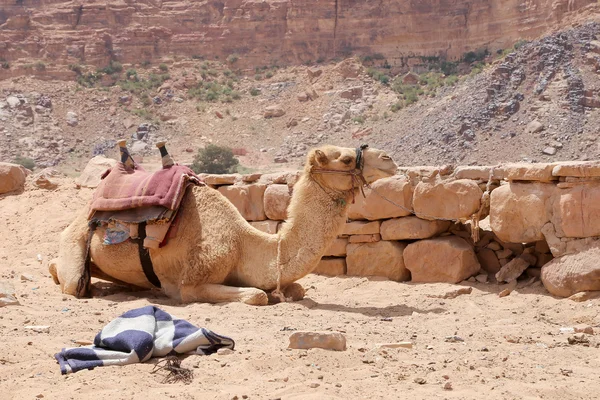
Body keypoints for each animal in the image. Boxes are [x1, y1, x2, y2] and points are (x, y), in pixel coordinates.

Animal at [51, 145, 398, 304]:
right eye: (345, 159)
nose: (389, 159)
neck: (245, 244)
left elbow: (295, 289)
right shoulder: (191, 282)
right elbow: (257, 295)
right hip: (76, 241)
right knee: (72, 281)